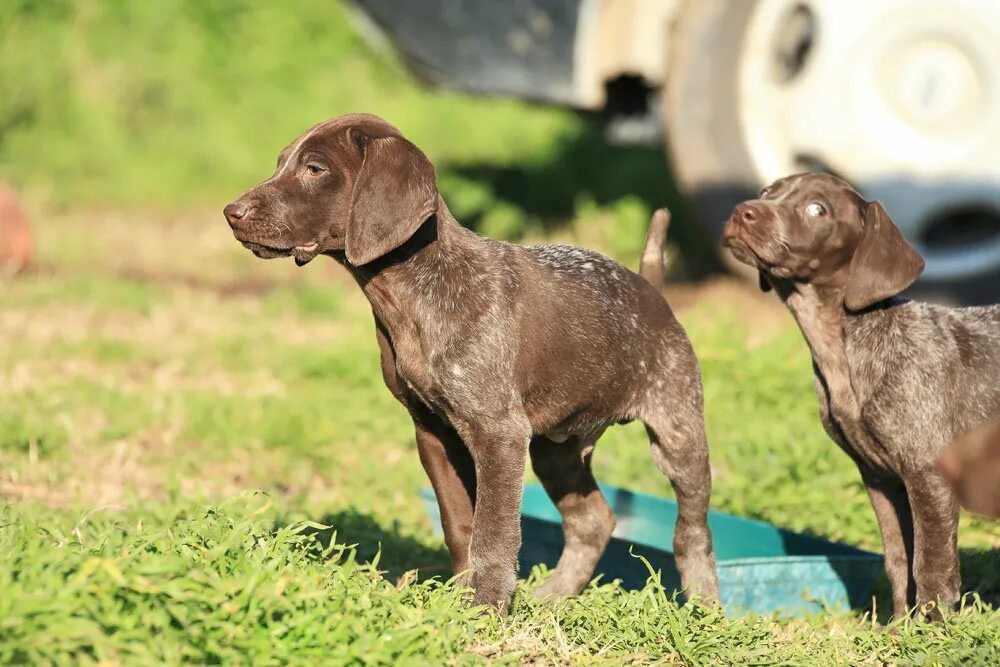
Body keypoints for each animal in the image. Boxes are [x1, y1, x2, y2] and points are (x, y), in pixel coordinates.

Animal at [225, 113, 720, 612]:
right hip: (555, 449)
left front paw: (488, 611)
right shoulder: (432, 432)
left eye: (315, 169)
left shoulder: (499, 434)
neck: (410, 293)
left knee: (692, 532)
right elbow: (460, 526)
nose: (232, 212)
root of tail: (650, 289)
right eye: (281, 163)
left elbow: (493, 533)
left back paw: (706, 611)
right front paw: (459, 607)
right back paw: (552, 599)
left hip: (677, 432)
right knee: (592, 521)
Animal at [728, 172, 1000, 620]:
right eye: (767, 193)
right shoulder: (880, 478)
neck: (842, 352)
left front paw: (932, 628)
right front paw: (898, 624)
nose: (742, 211)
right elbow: (898, 559)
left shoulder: (929, 474)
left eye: (817, 209)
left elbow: (931, 565)